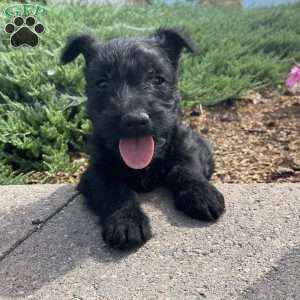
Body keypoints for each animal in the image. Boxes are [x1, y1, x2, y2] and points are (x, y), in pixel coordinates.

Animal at [61, 29, 225, 251]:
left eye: (157, 79)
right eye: (102, 82)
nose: (135, 120)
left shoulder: (188, 146)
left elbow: (185, 167)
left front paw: (201, 193)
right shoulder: (94, 173)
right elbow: (115, 189)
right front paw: (126, 220)